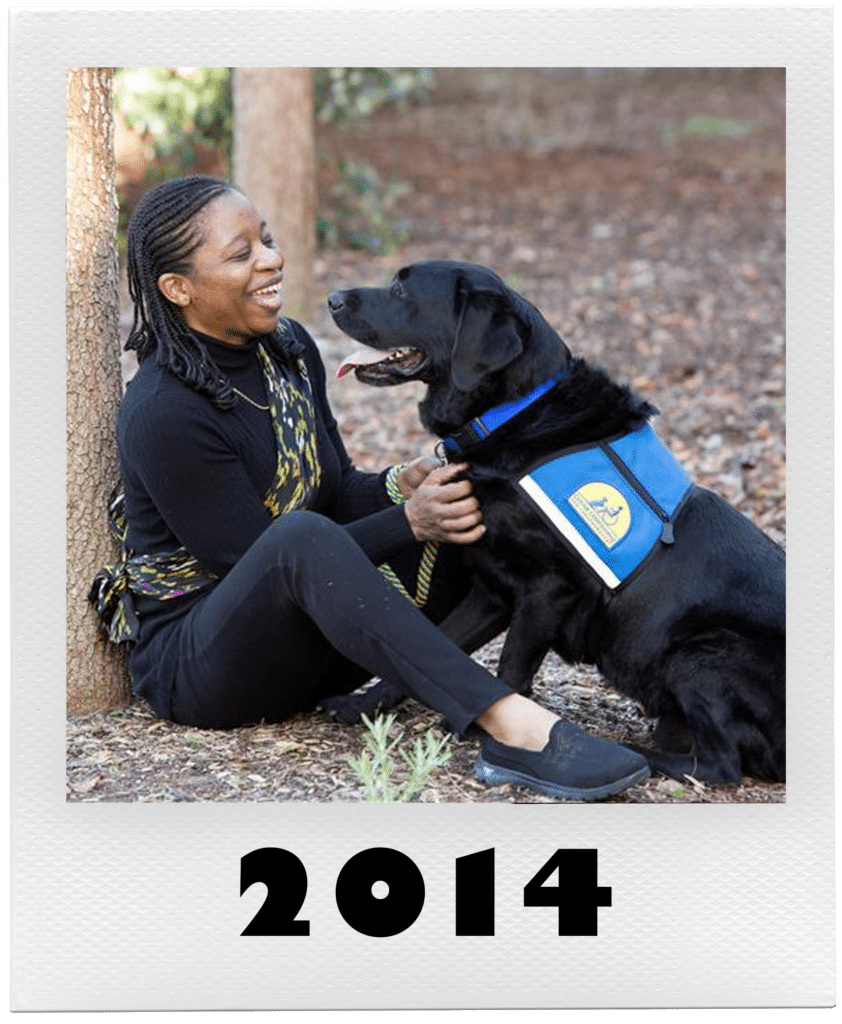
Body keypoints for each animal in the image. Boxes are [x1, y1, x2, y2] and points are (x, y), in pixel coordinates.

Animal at [327, 260, 786, 778]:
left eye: (402, 290)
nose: (332, 298)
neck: (511, 412)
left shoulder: (548, 591)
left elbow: (509, 668)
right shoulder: (493, 588)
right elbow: (431, 649)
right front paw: (360, 704)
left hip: (704, 652)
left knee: (717, 766)